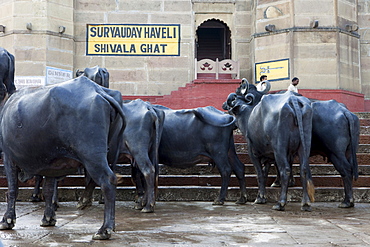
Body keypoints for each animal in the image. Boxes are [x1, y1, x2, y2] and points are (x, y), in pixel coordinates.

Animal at [0, 76, 125, 239]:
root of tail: (98, 91)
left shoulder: (8, 157)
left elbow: (12, 189)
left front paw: (7, 220)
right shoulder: (52, 165)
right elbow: (48, 190)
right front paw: (48, 218)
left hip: (92, 156)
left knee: (107, 181)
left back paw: (104, 229)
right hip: (109, 154)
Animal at [224, 80, 314, 211]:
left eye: (235, 95)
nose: (224, 105)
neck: (248, 115)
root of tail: (293, 101)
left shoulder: (253, 152)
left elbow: (260, 174)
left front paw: (259, 198)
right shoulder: (268, 156)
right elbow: (265, 174)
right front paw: (263, 196)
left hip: (280, 148)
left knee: (285, 170)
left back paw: (280, 203)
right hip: (304, 145)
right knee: (304, 170)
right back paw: (306, 203)